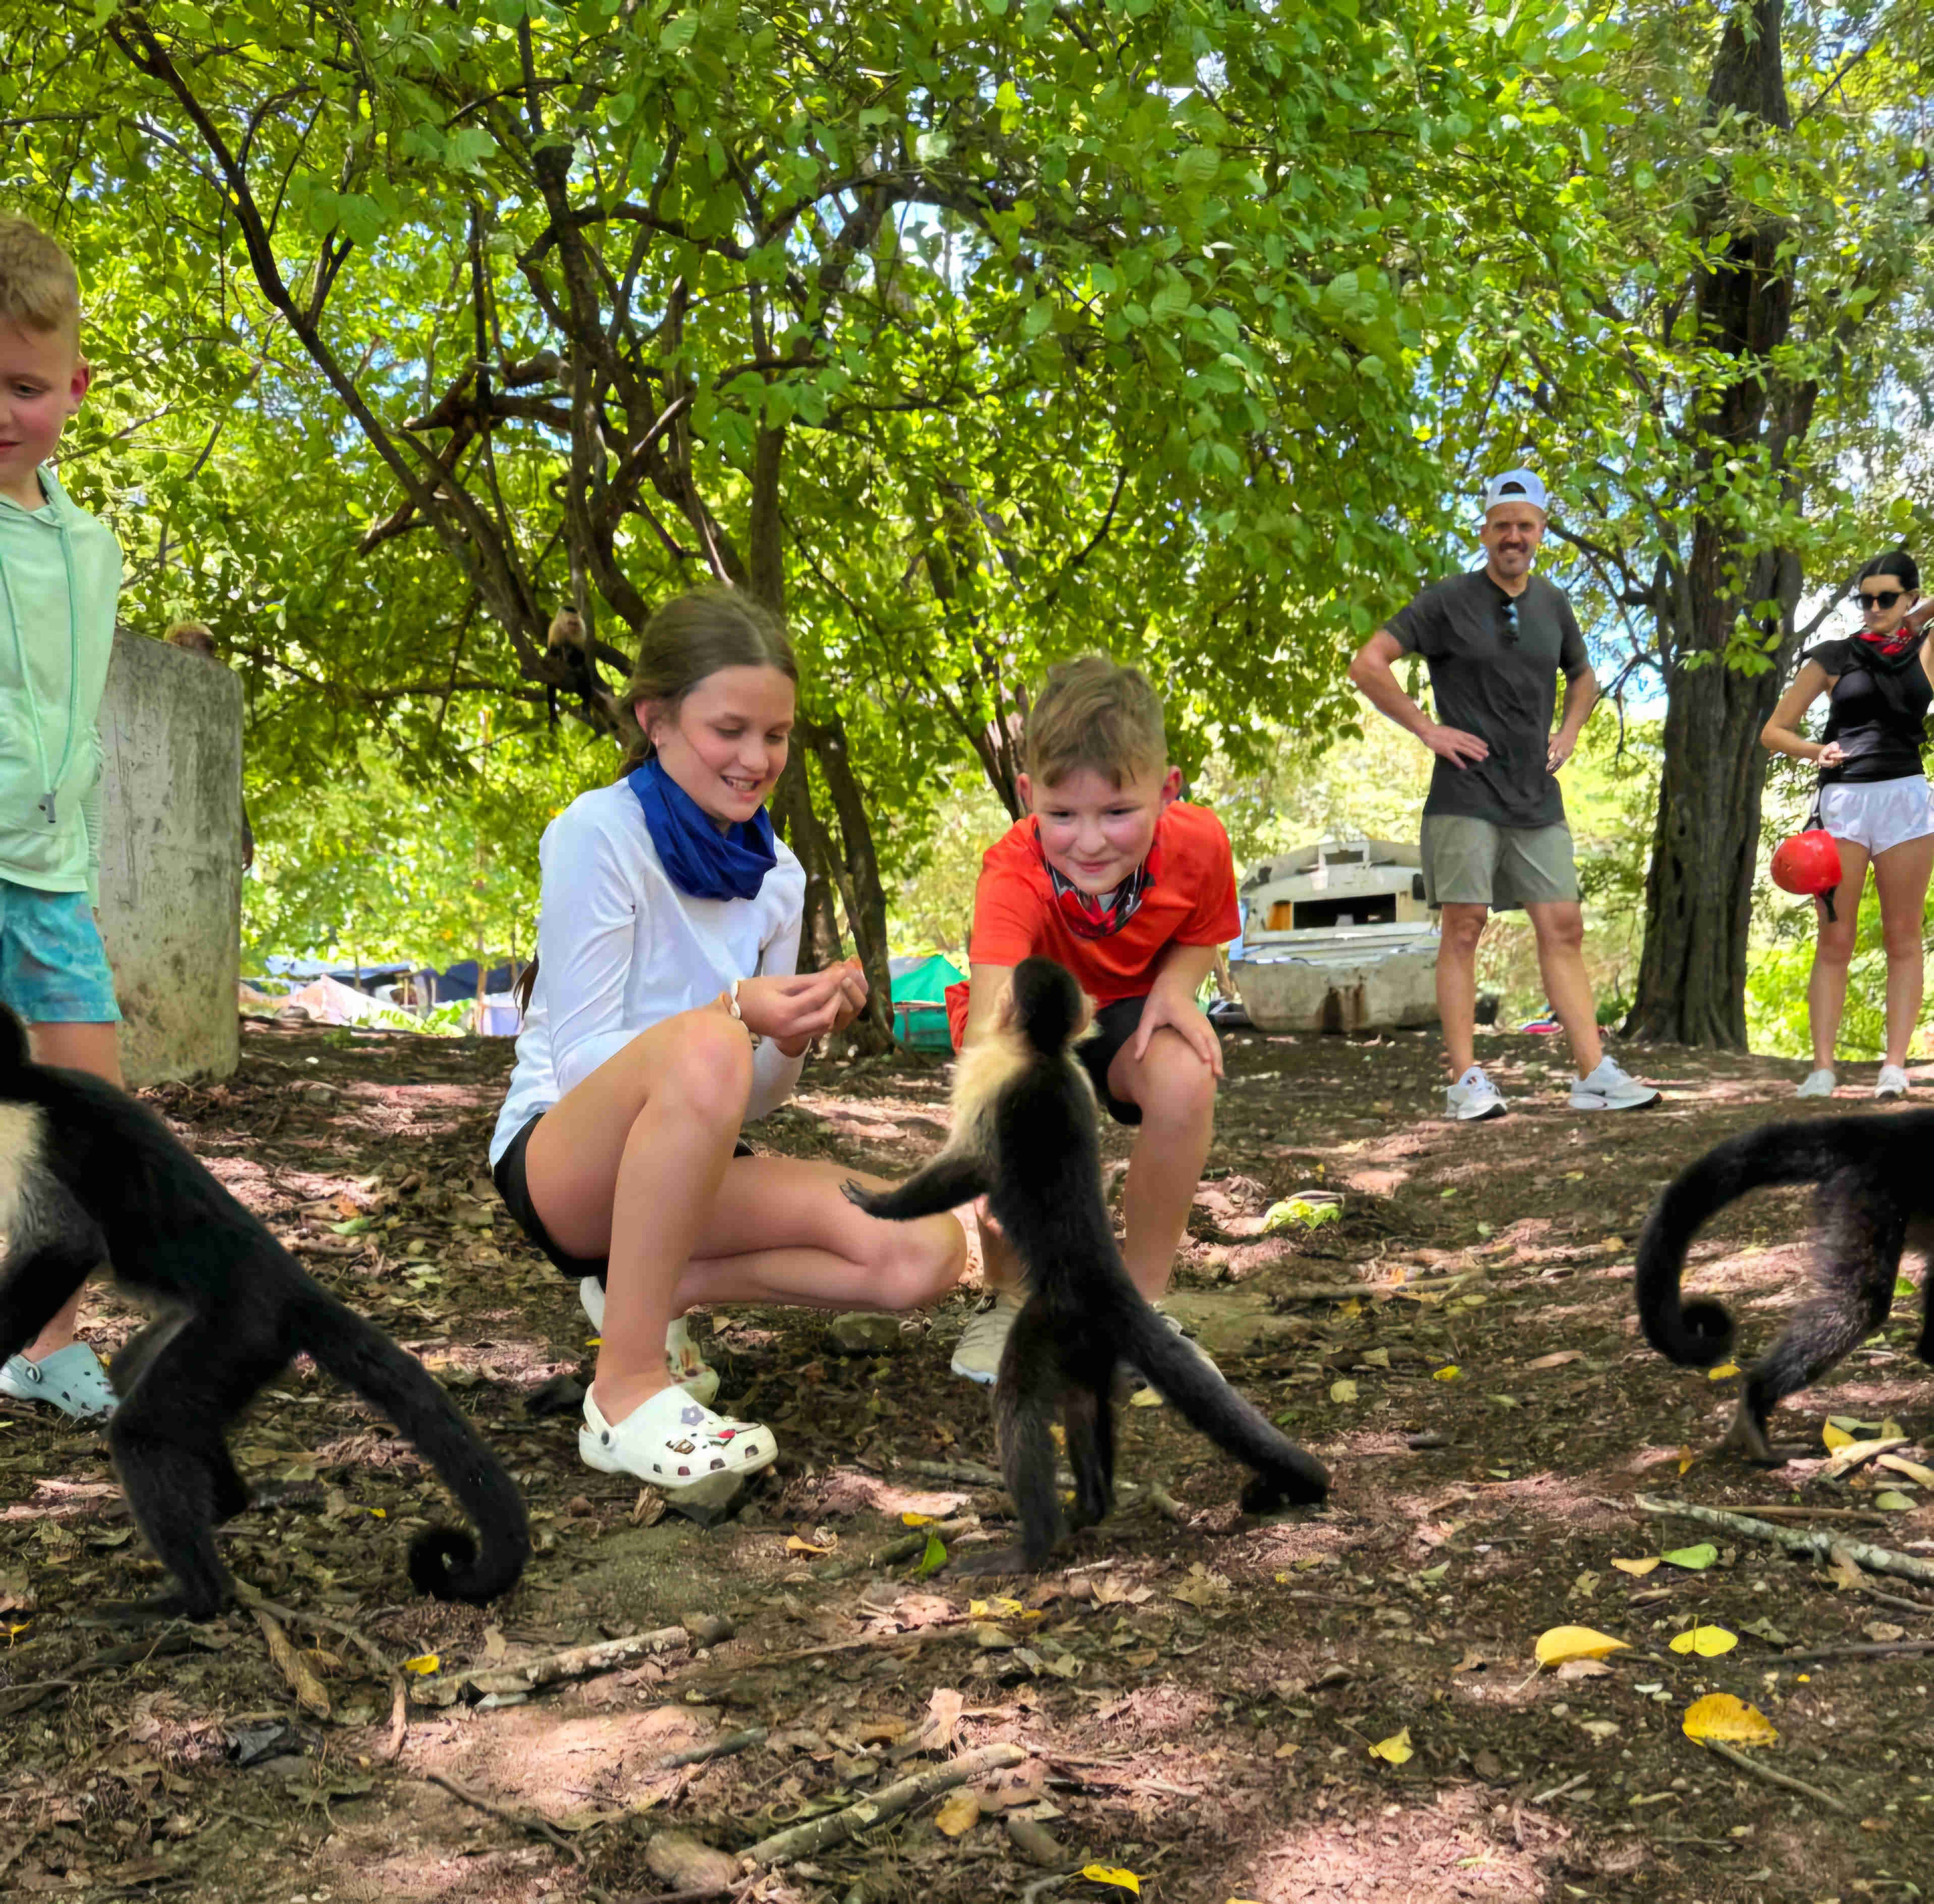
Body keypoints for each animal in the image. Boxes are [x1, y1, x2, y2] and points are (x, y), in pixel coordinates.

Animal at [0, 1007, 529, 1619]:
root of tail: (289, 1282)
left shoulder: (18, 1129)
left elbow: (67, 1245)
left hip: (241, 1330)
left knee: (144, 1431)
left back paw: (198, 1596)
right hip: (220, 1333)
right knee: (143, 1381)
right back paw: (232, 1500)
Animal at [843, 957, 1329, 1569]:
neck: (1043, 1054)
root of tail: (1108, 1281)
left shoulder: (990, 1074)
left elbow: (972, 1168)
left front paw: (880, 1205)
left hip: (1053, 1321)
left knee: (1019, 1404)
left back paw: (1034, 1546)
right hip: (1089, 1343)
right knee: (1082, 1402)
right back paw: (1090, 1510)